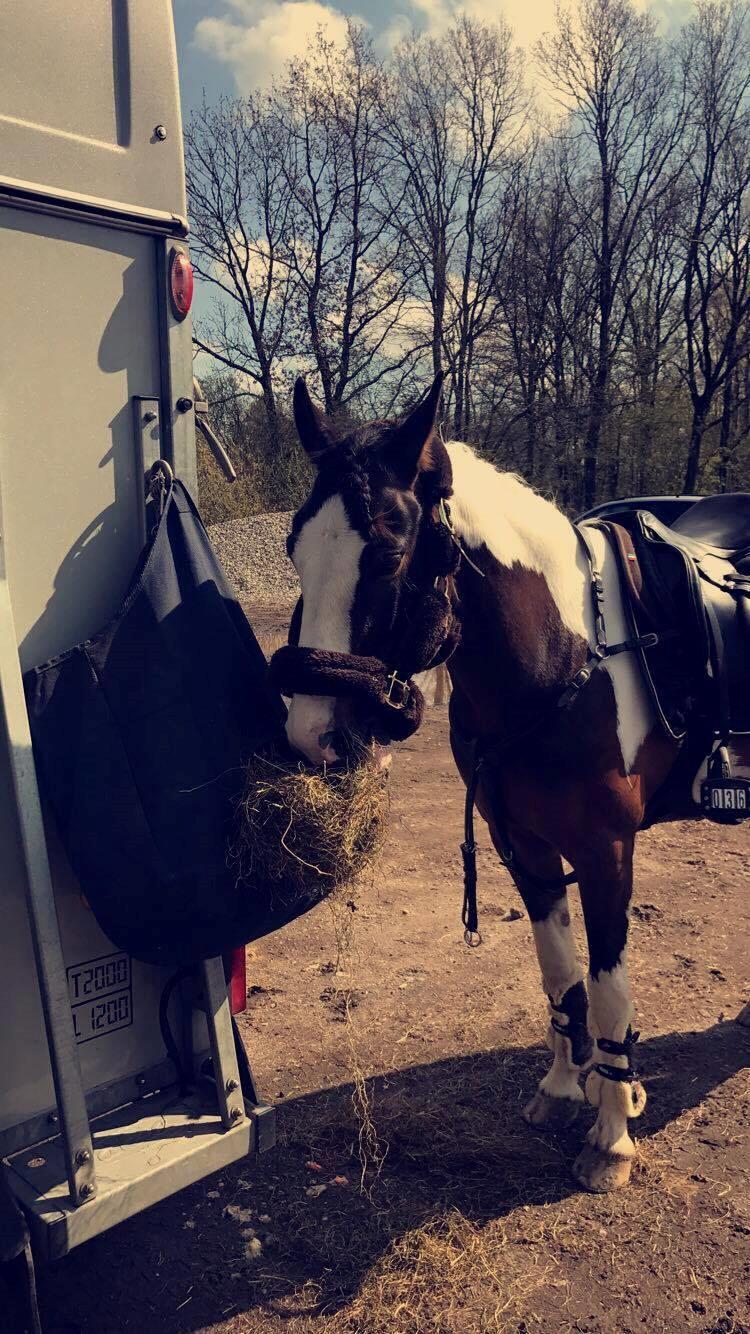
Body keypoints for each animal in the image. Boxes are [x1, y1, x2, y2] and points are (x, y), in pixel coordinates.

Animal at [273, 371, 748, 1193]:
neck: (569, 654)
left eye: (388, 555)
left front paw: (612, 1133)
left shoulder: (606, 851)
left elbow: (609, 986)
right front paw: (565, 1088)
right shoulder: (522, 844)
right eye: (296, 548)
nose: (312, 733)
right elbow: (560, 973)